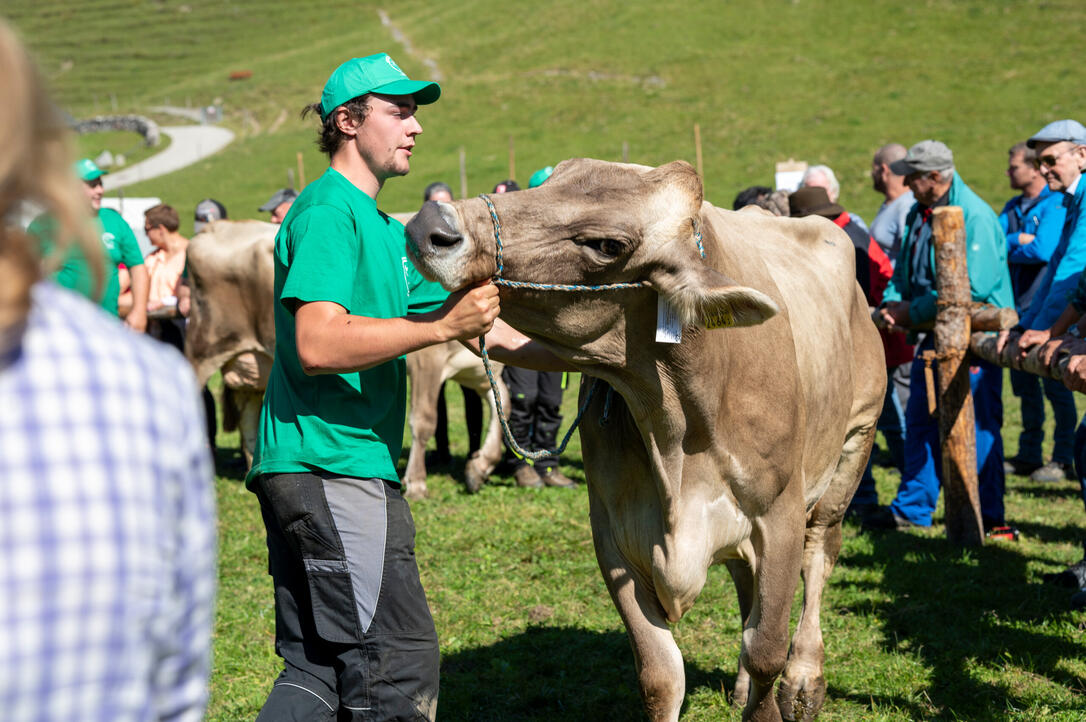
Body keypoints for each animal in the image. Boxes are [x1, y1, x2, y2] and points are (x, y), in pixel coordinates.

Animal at [403, 159, 886, 720]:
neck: (677, 428)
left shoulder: (779, 516)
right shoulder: (614, 532)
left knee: (819, 557)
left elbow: (767, 648)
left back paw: (805, 680)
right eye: (554, 177)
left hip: (852, 447)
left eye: (607, 245)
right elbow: (661, 674)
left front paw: (770, 698)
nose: (431, 222)